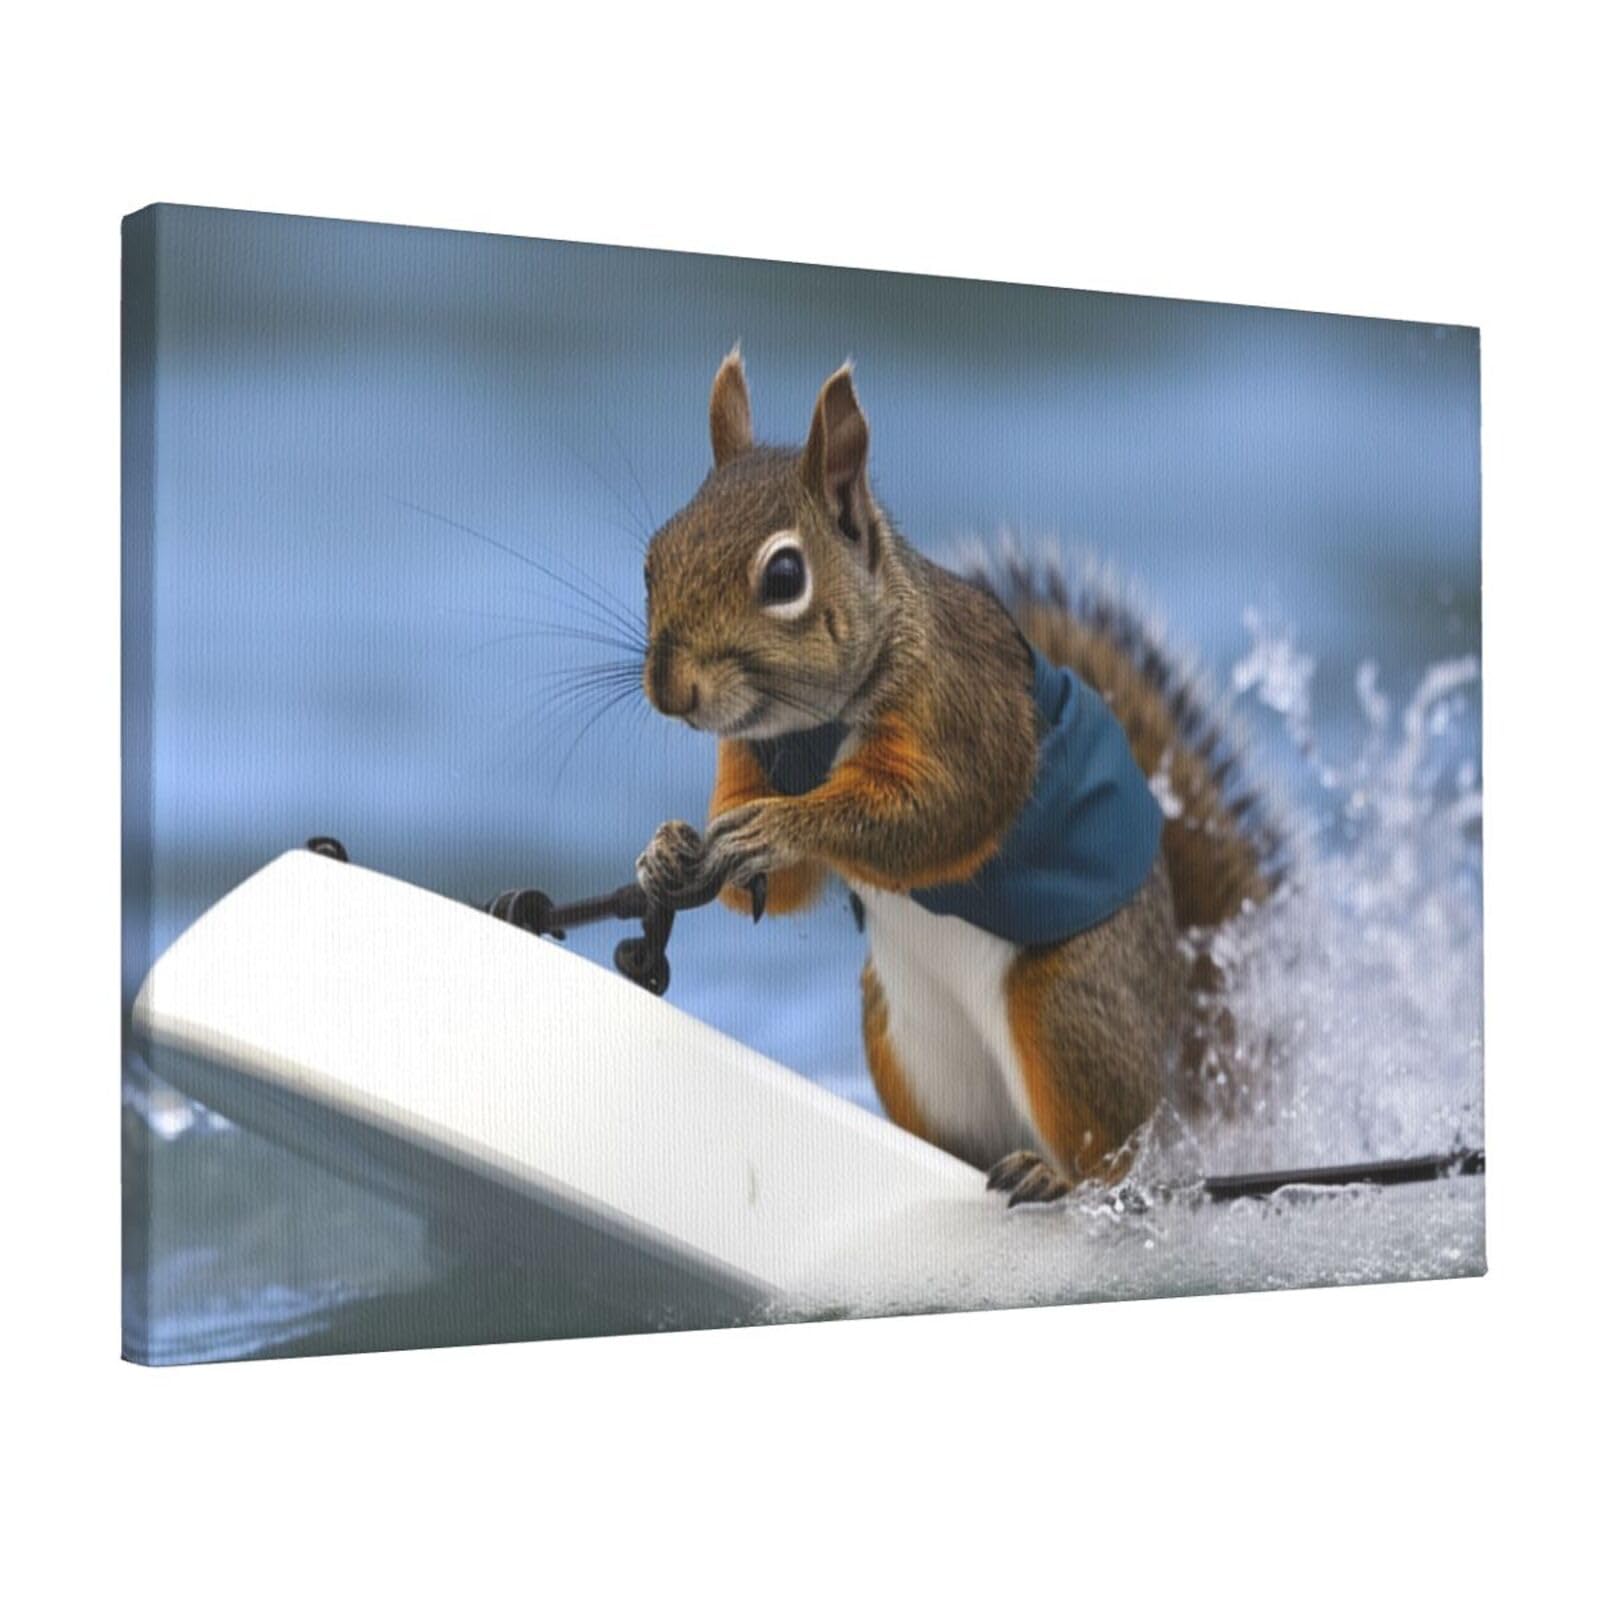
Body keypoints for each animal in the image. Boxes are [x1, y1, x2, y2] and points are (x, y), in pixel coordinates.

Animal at [635, 350, 1281, 1202]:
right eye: (653, 558)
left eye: (784, 575)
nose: (670, 690)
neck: (810, 730)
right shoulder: (750, 755)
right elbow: (778, 888)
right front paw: (669, 848)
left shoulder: (970, 714)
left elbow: (935, 819)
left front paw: (779, 826)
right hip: (902, 1038)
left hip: (1069, 1009)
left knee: (1117, 1155)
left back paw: (1060, 1177)